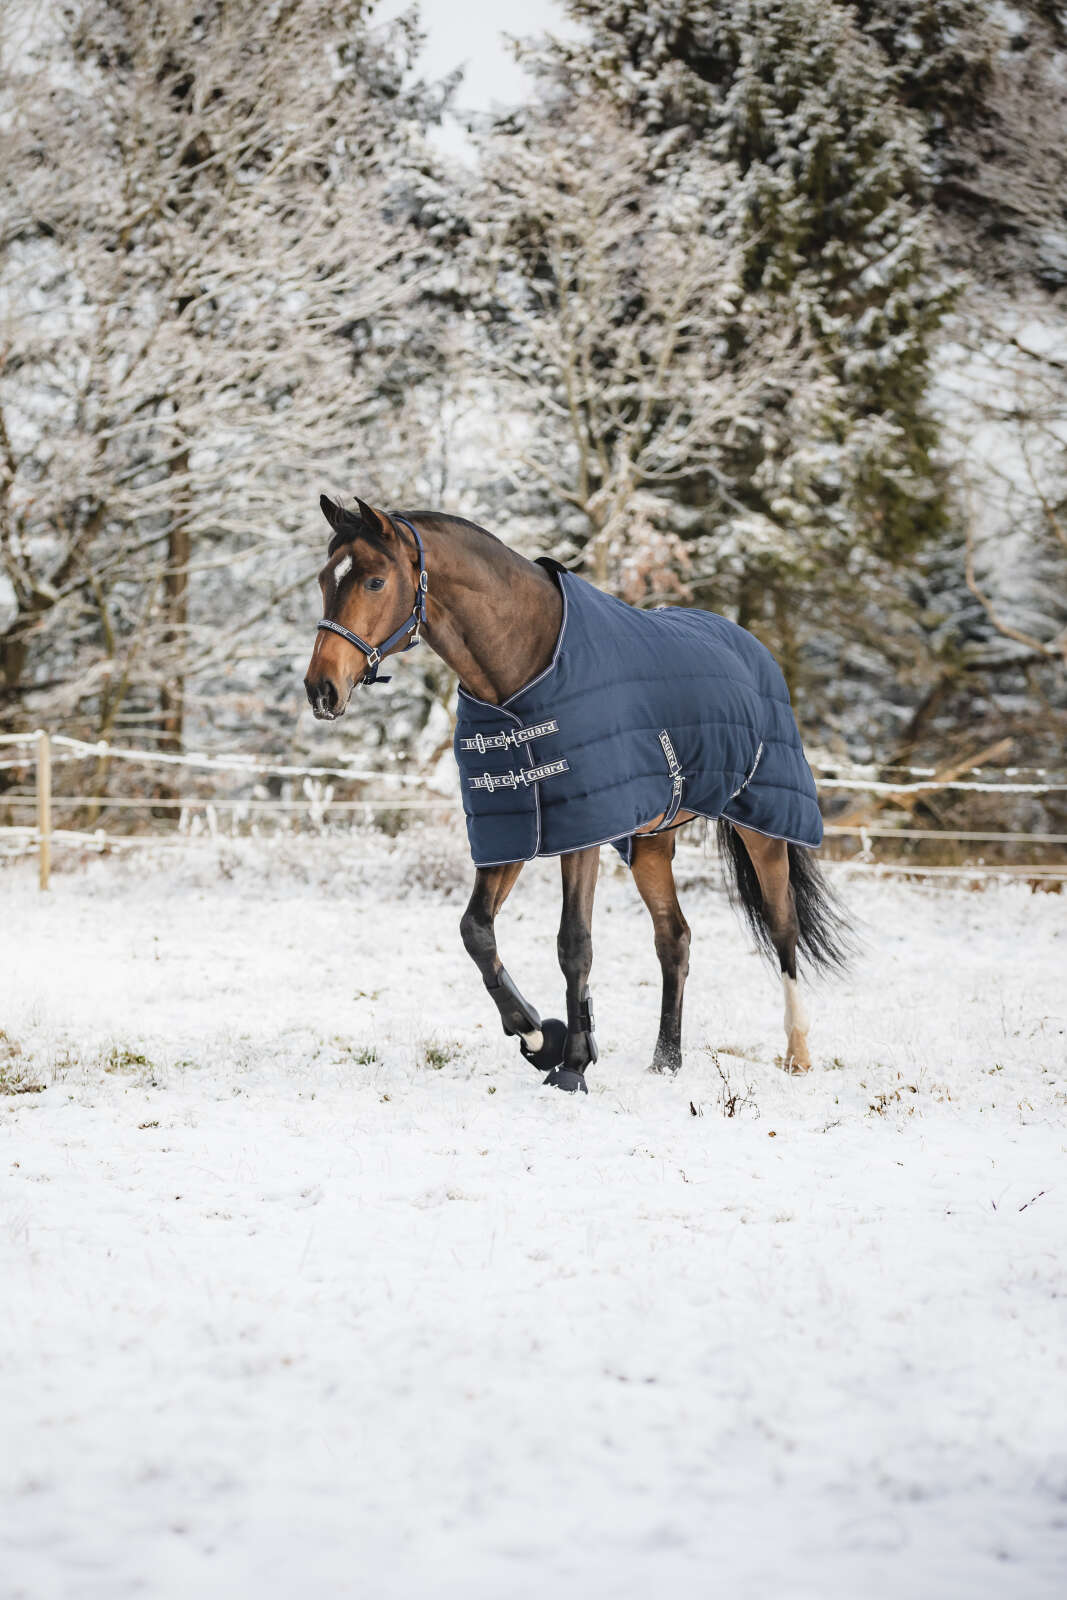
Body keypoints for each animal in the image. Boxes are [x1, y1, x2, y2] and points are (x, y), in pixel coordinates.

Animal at [304, 495, 851, 1093]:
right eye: (324, 580)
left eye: (375, 581)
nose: (321, 689)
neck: (520, 678)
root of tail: (753, 649)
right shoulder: (515, 823)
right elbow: (476, 931)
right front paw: (538, 1036)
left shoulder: (582, 830)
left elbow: (574, 943)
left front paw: (572, 1064)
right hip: (650, 841)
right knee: (674, 939)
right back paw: (666, 1061)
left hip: (763, 824)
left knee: (782, 927)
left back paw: (797, 1055)